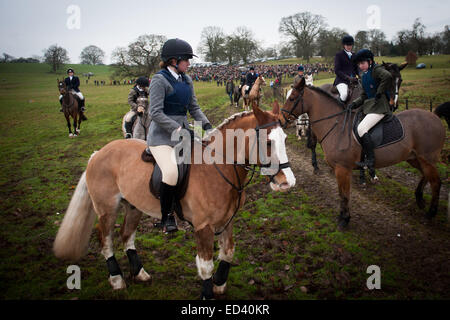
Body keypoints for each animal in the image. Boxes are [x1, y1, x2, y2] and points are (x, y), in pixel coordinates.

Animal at [53, 103, 296, 300]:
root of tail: (98, 153)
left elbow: (228, 253)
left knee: (126, 236)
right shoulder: (203, 227)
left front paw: (219, 285)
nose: (287, 182)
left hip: (133, 206)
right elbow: (206, 265)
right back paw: (117, 280)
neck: (218, 167)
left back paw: (140, 273)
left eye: (285, 139)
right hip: (107, 209)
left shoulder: (227, 221)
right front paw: (207, 294)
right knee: (105, 240)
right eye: (268, 142)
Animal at [280, 76, 444, 229]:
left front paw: (345, 219)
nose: (281, 120)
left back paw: (430, 213)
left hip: (426, 159)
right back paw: (420, 199)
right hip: (414, 158)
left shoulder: (343, 169)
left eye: (292, 98)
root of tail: (435, 117)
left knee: (435, 182)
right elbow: (341, 193)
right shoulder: (339, 170)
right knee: (426, 176)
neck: (336, 125)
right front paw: (342, 216)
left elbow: (345, 194)